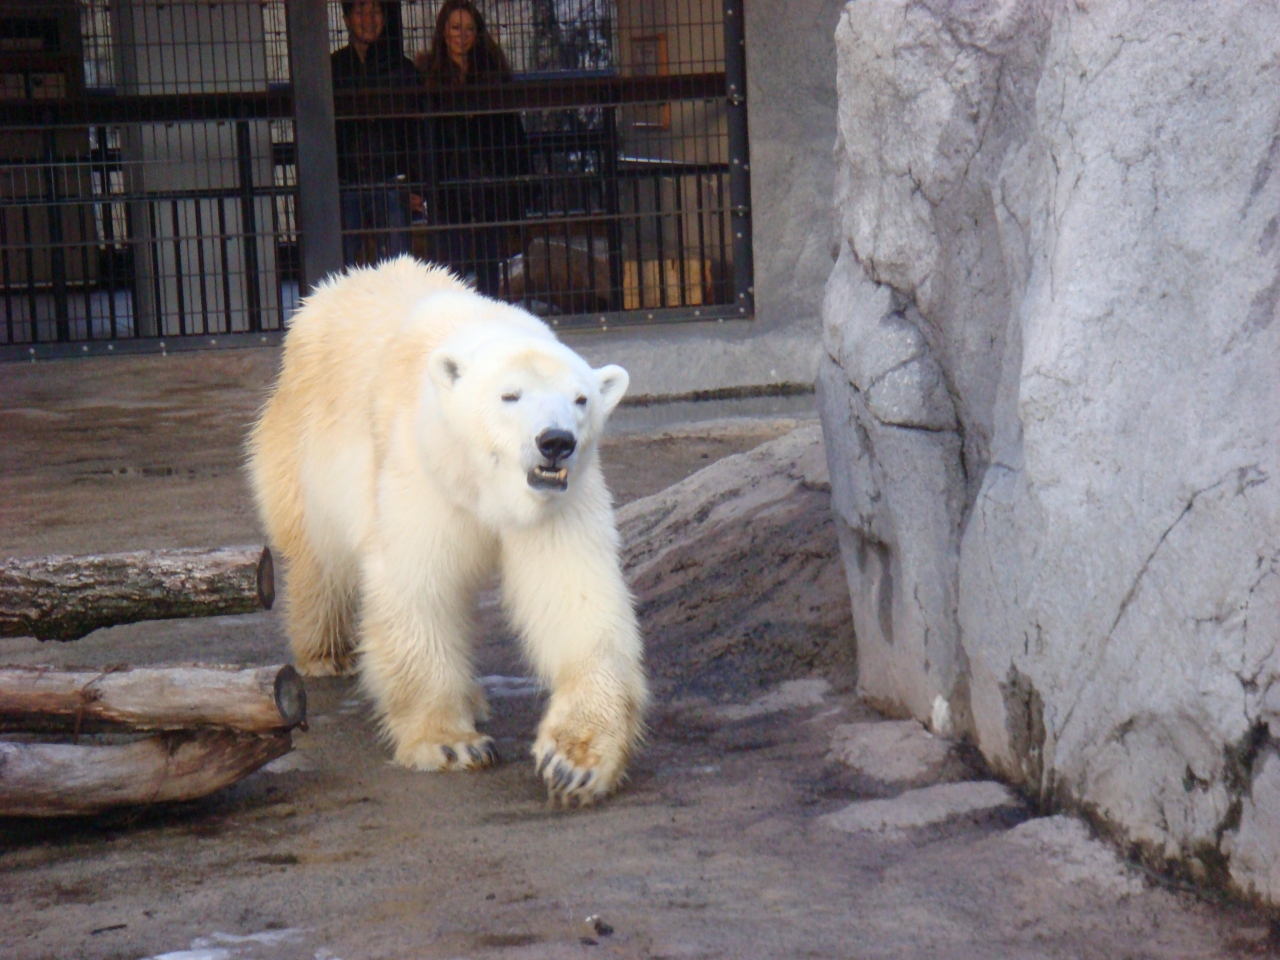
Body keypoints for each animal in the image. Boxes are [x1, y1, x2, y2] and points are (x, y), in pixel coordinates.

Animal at [246, 257, 647, 804]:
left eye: (582, 399)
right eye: (509, 396)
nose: (556, 442)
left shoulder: (562, 502)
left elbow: (577, 599)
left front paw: (574, 761)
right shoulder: (422, 466)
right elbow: (417, 586)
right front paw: (451, 744)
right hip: (303, 446)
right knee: (320, 558)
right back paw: (328, 652)